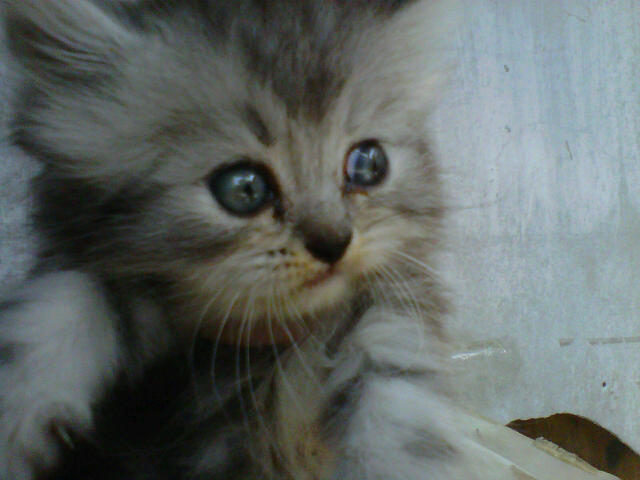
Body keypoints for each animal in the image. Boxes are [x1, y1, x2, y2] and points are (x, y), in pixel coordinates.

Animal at [0, 0, 490, 478]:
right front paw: (22, 399)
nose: (334, 243)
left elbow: (402, 419)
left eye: (368, 163)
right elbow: (64, 300)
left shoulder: (391, 312)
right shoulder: (100, 260)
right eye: (244, 188)